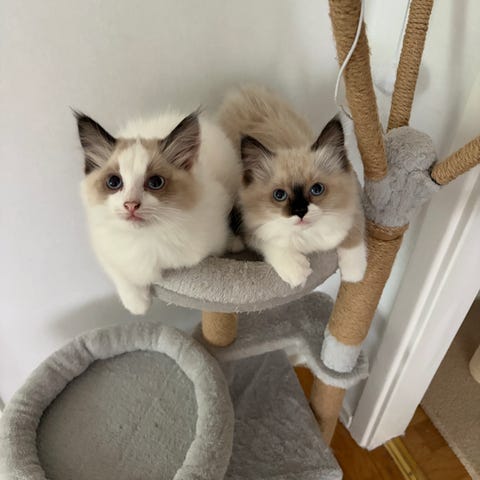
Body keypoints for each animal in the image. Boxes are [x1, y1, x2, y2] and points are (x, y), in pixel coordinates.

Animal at [76, 110, 241, 314]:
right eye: (114, 182)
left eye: (155, 182)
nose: (131, 205)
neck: (146, 238)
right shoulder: (104, 247)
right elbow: (121, 274)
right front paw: (138, 305)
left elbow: (223, 241)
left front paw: (235, 244)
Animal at [218, 86, 366, 288]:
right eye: (279, 195)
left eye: (317, 189)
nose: (300, 211)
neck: (309, 237)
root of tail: (241, 91)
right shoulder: (254, 228)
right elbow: (270, 242)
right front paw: (296, 270)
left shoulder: (353, 202)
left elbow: (354, 235)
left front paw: (354, 274)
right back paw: (233, 244)